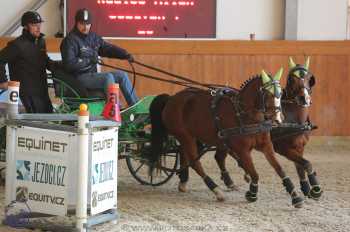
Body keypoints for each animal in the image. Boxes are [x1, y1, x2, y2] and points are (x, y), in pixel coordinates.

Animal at [149, 70, 304, 208]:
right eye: (267, 94)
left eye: (280, 93)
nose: (278, 119)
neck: (246, 115)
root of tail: (171, 99)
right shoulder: (242, 150)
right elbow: (255, 174)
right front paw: (252, 194)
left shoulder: (266, 146)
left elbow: (280, 170)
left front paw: (295, 196)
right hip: (186, 136)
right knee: (196, 163)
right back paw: (216, 191)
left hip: (192, 137)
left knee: (185, 155)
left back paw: (184, 181)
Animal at [213, 57, 322, 199]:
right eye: (292, 79)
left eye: (310, 78)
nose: (304, 98)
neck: (294, 119)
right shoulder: (283, 149)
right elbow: (306, 163)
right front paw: (315, 189)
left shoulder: (299, 147)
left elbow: (300, 166)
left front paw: (306, 188)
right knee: (221, 156)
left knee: (220, 156)